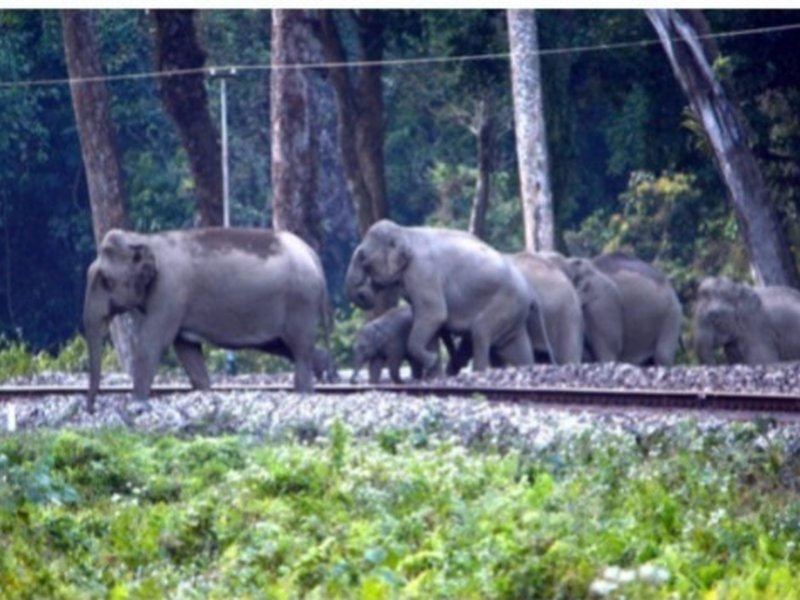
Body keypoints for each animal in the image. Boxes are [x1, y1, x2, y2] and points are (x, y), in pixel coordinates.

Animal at [83, 227, 331, 412]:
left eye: (105, 280)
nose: (91, 408)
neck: (144, 238)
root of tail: (312, 254)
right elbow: (186, 350)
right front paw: (205, 394)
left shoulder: (169, 292)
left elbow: (151, 344)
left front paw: (137, 405)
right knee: (289, 348)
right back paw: (321, 369)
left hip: (301, 303)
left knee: (299, 350)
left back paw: (305, 392)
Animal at [345, 219, 533, 375]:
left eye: (363, 259)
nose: (364, 292)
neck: (406, 232)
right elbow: (428, 321)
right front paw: (434, 373)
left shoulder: (423, 272)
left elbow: (434, 314)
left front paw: (431, 361)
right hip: (513, 312)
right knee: (519, 349)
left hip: (505, 302)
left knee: (481, 332)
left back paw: (479, 372)